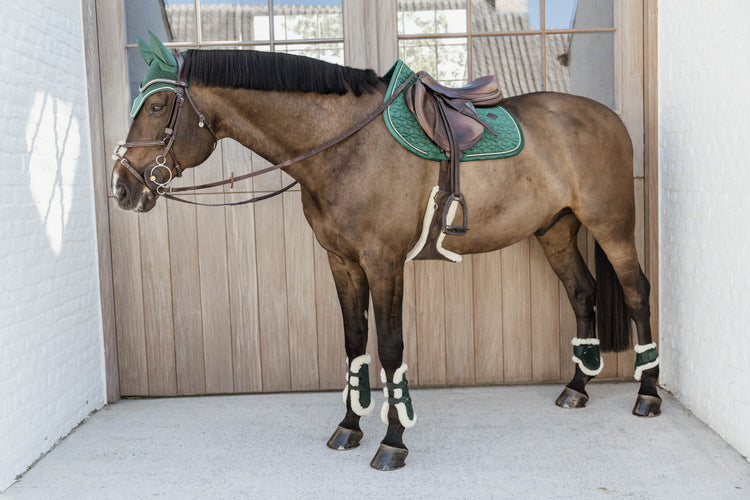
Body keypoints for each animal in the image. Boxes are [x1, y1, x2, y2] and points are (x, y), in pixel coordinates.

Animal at [111, 35, 664, 468]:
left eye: (157, 108)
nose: (121, 188)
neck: (344, 148)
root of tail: (608, 117)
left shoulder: (384, 263)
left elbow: (391, 347)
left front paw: (393, 441)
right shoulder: (342, 262)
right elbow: (355, 342)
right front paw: (349, 428)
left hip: (612, 227)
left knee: (637, 292)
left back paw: (648, 394)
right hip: (555, 231)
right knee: (583, 293)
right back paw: (576, 388)